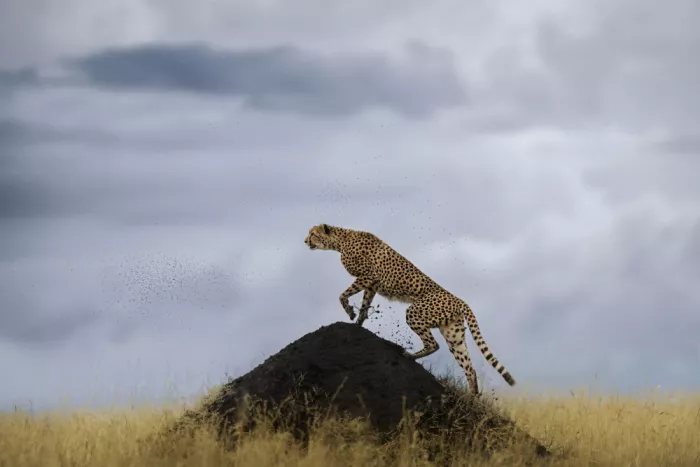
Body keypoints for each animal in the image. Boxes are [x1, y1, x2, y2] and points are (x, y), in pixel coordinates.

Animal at [304, 223, 516, 395]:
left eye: (313, 233)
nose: (306, 241)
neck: (341, 240)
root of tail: (460, 300)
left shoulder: (368, 276)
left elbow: (343, 295)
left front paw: (350, 312)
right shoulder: (371, 284)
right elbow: (365, 304)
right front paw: (358, 323)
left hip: (415, 312)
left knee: (433, 344)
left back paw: (410, 355)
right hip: (453, 335)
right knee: (468, 367)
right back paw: (472, 397)